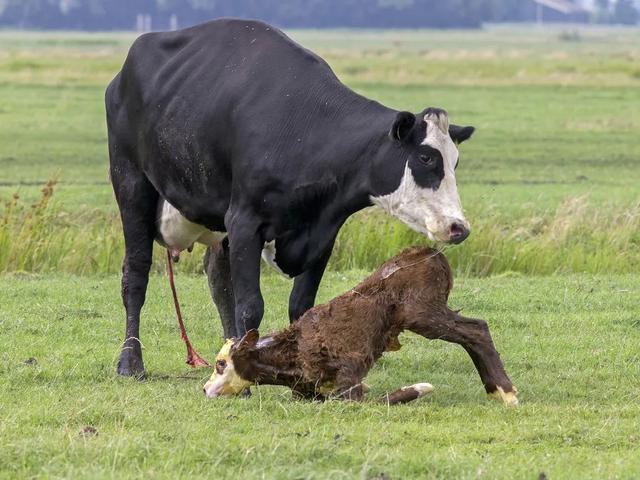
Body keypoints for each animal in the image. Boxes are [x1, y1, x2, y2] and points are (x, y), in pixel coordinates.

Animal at [106, 19, 476, 378]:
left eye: (455, 161)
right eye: (426, 158)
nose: (459, 227)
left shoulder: (324, 233)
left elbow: (301, 305)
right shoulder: (244, 221)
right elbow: (250, 305)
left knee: (218, 277)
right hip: (131, 182)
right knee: (135, 274)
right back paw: (130, 362)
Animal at [206, 246, 520, 404]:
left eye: (221, 364)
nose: (204, 389)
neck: (292, 354)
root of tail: (429, 251)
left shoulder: (350, 377)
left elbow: (368, 399)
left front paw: (420, 388)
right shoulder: (308, 391)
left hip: (424, 314)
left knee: (477, 329)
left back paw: (505, 392)